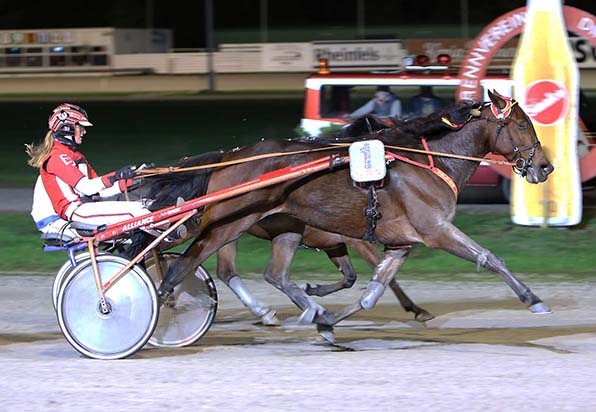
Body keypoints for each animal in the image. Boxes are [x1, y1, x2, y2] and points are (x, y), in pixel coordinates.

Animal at [151, 91, 556, 336]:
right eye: (522, 124)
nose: (546, 167)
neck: (429, 161)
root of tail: (229, 156)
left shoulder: (399, 243)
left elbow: (370, 290)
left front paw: (327, 320)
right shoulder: (434, 229)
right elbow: (489, 257)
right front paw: (533, 300)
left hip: (282, 227)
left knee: (268, 274)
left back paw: (295, 310)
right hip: (225, 226)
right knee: (184, 266)